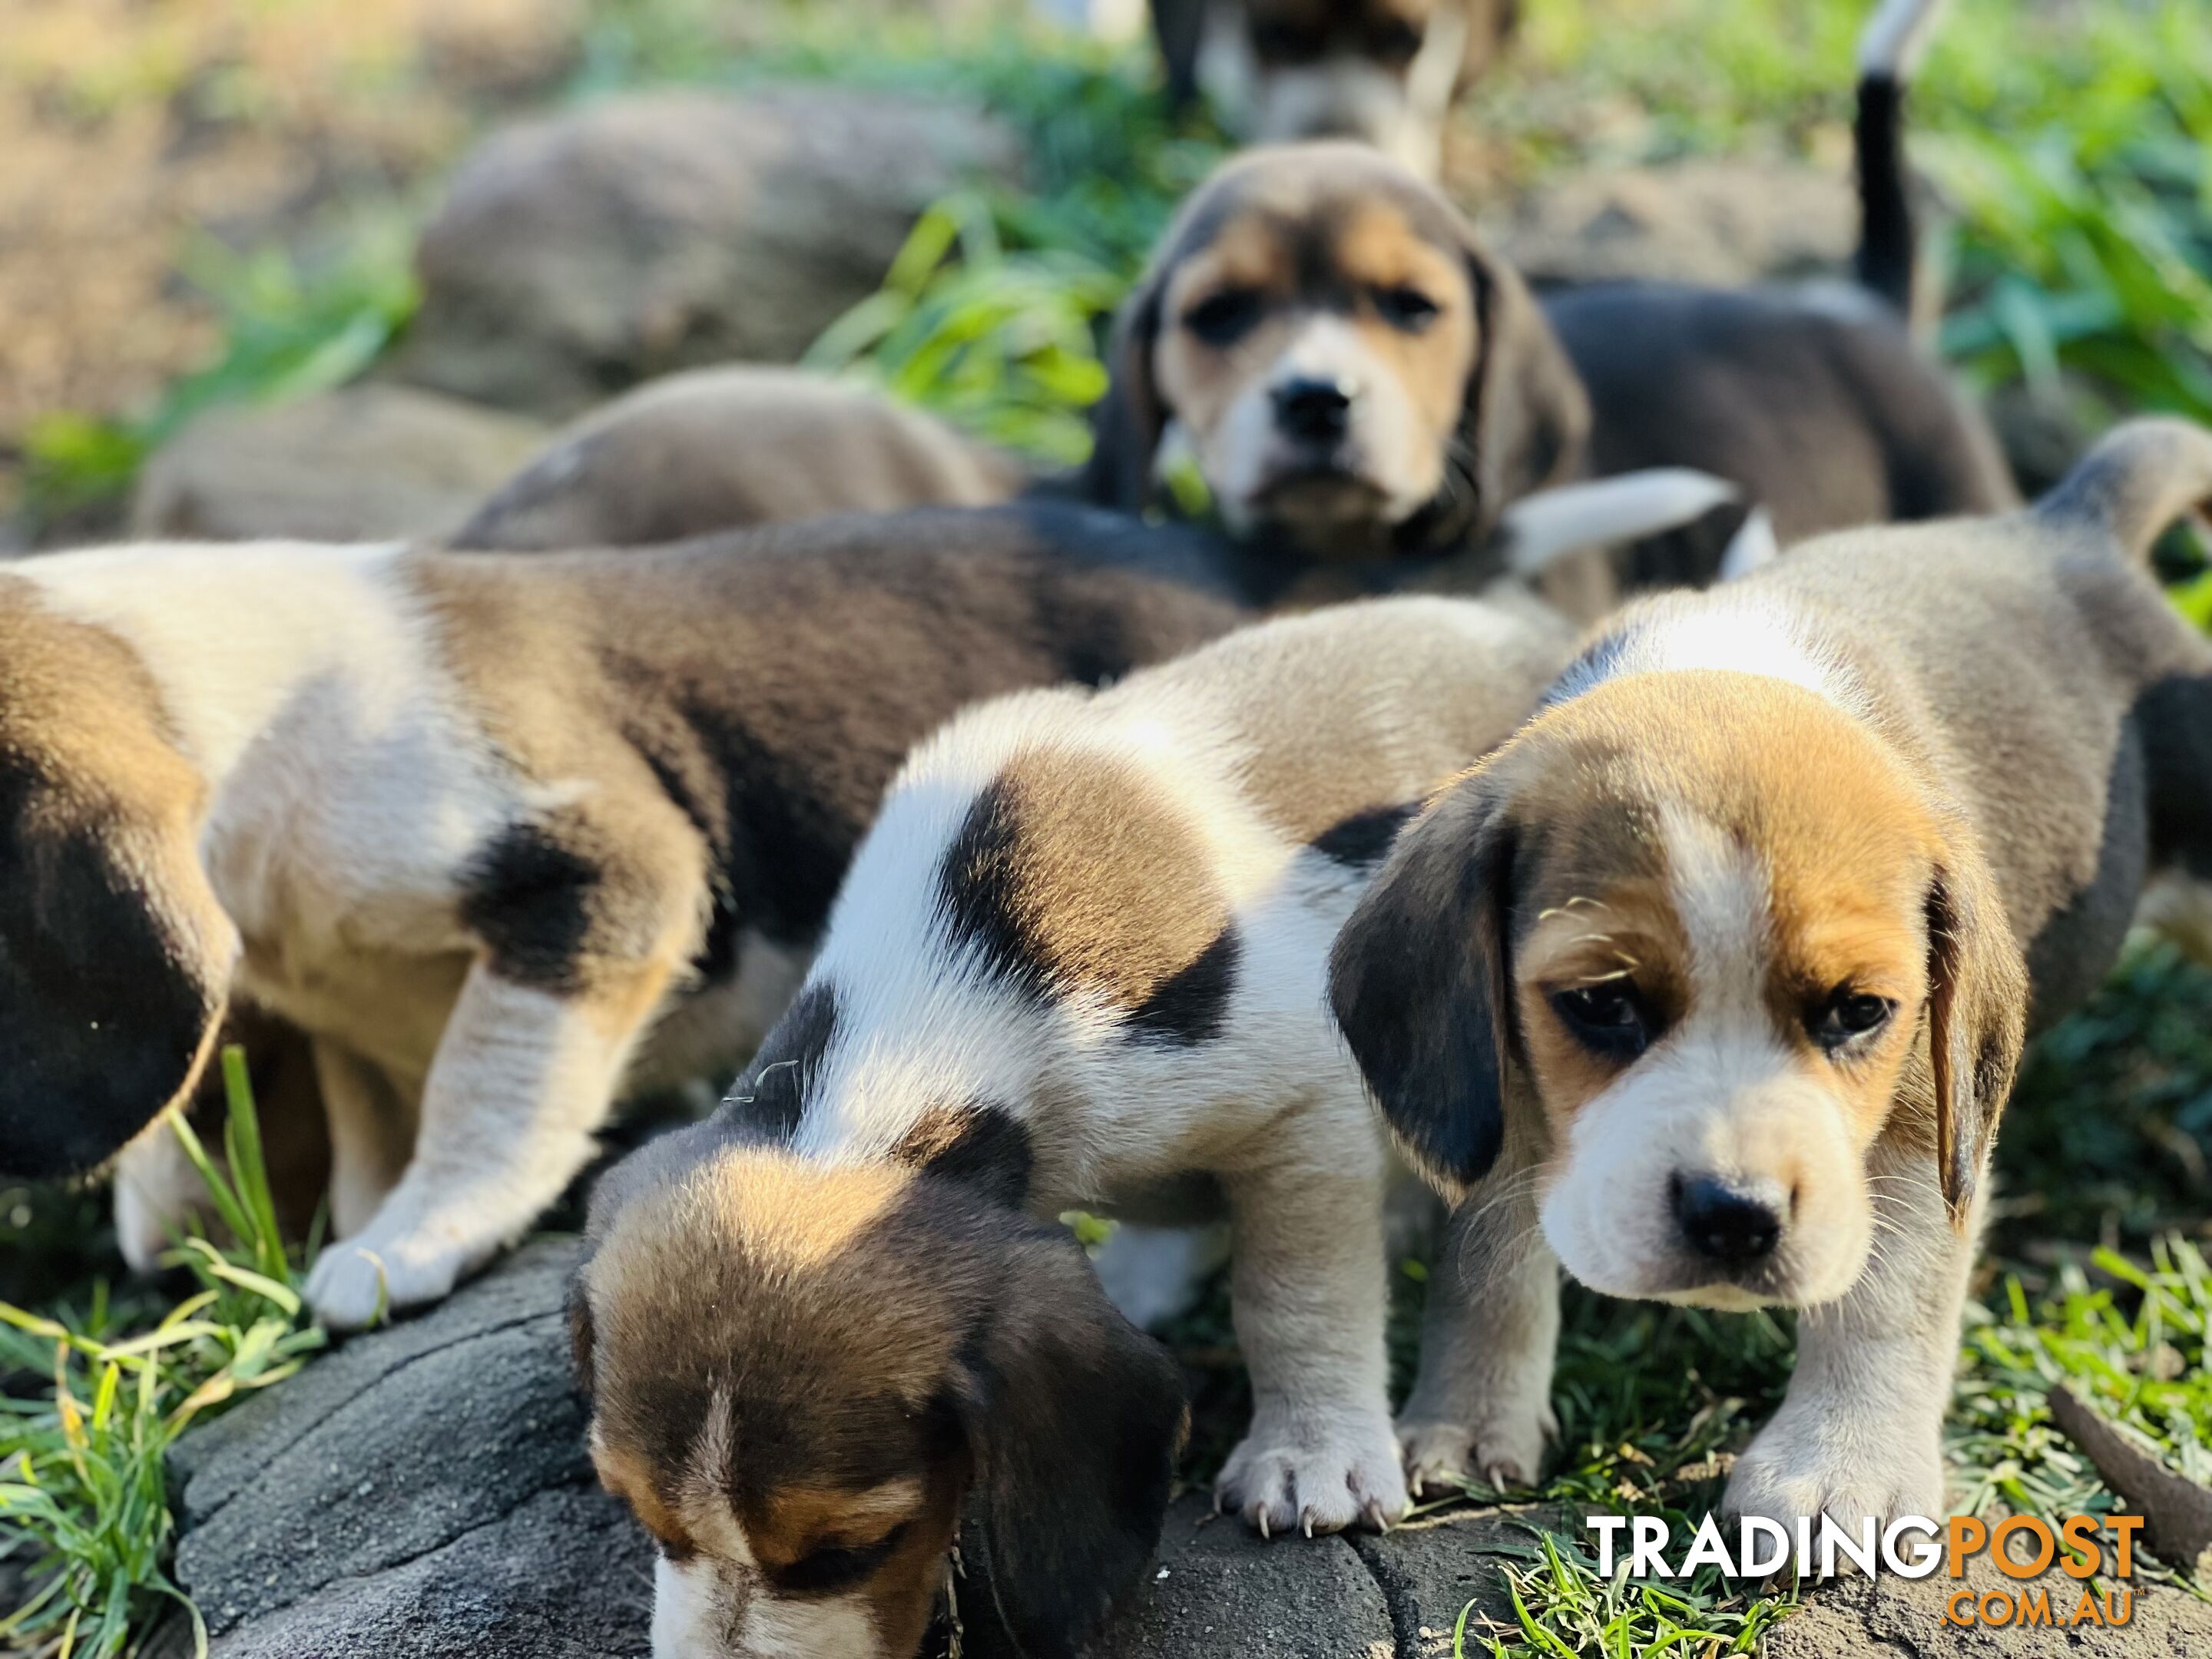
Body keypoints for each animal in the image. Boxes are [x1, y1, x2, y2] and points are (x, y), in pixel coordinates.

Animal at [0, 506, 1247, 1327]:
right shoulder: (349, 1016)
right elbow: (375, 1125)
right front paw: (355, 1216)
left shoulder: (609, 869)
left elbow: (488, 1086)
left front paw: (402, 1246)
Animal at [566, 592, 1575, 1654]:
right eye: (642, 1518)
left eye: (850, 1551)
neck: (939, 1000)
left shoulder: (1306, 1112)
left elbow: (1295, 1299)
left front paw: (1314, 1457)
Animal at [1318, 422, 2212, 1539]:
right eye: (1603, 1004)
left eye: (1860, 1012)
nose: (1733, 1216)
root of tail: (2067, 525)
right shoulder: (1507, 1078)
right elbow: (1491, 1260)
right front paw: (1470, 1416)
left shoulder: (1927, 1110)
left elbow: (1890, 1293)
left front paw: (1841, 1469)